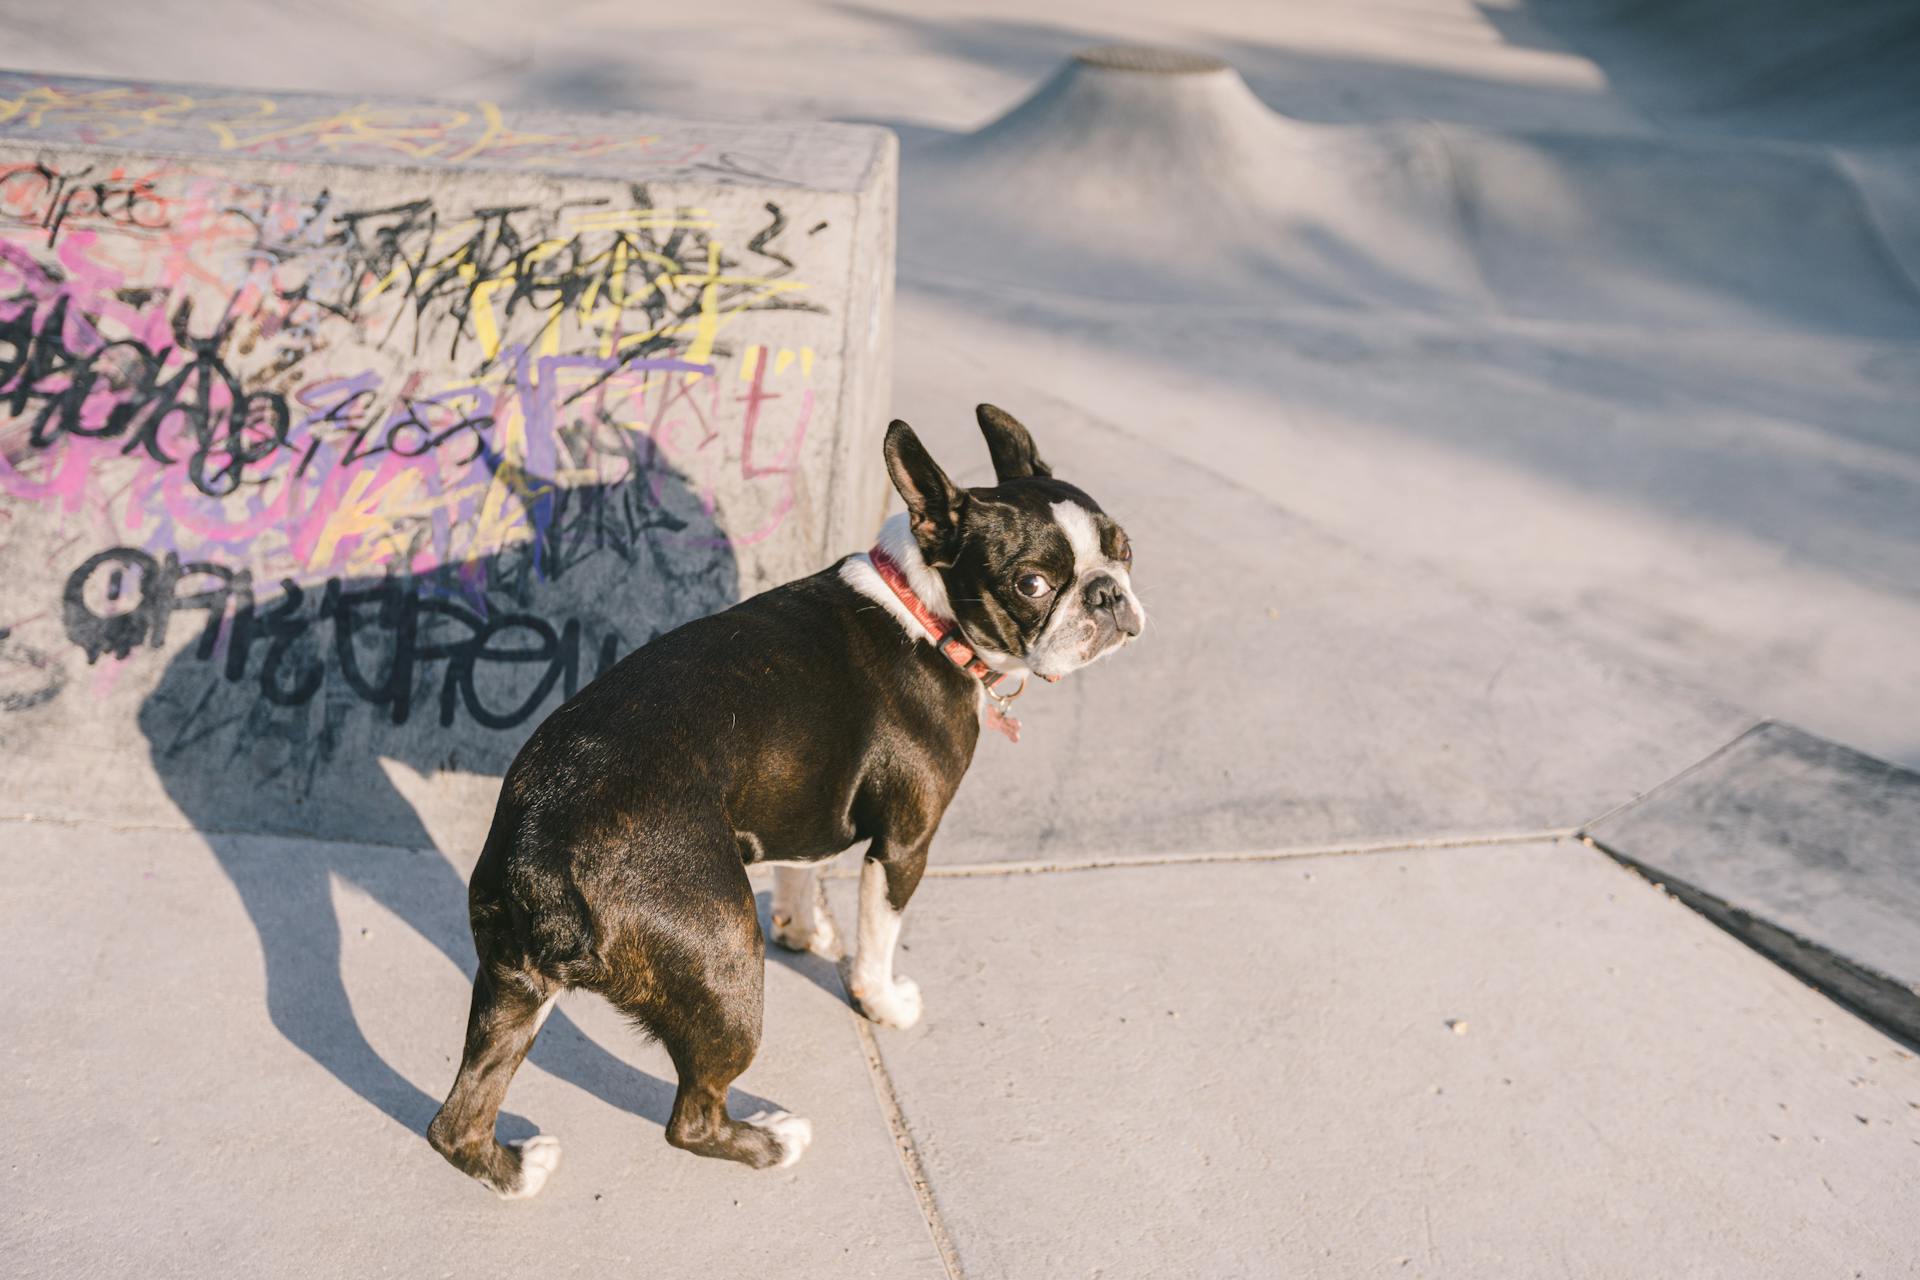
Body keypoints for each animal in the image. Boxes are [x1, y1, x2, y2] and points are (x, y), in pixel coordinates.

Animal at [426, 404, 1136, 1197]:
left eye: (1124, 550)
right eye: (1034, 584)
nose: (1107, 594)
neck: (925, 609)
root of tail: (543, 850)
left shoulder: (805, 799)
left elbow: (803, 861)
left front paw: (806, 924)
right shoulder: (906, 844)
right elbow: (878, 936)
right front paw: (883, 1002)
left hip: (514, 978)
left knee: (456, 1118)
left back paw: (515, 1171)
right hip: (725, 961)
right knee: (690, 1118)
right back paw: (773, 1141)